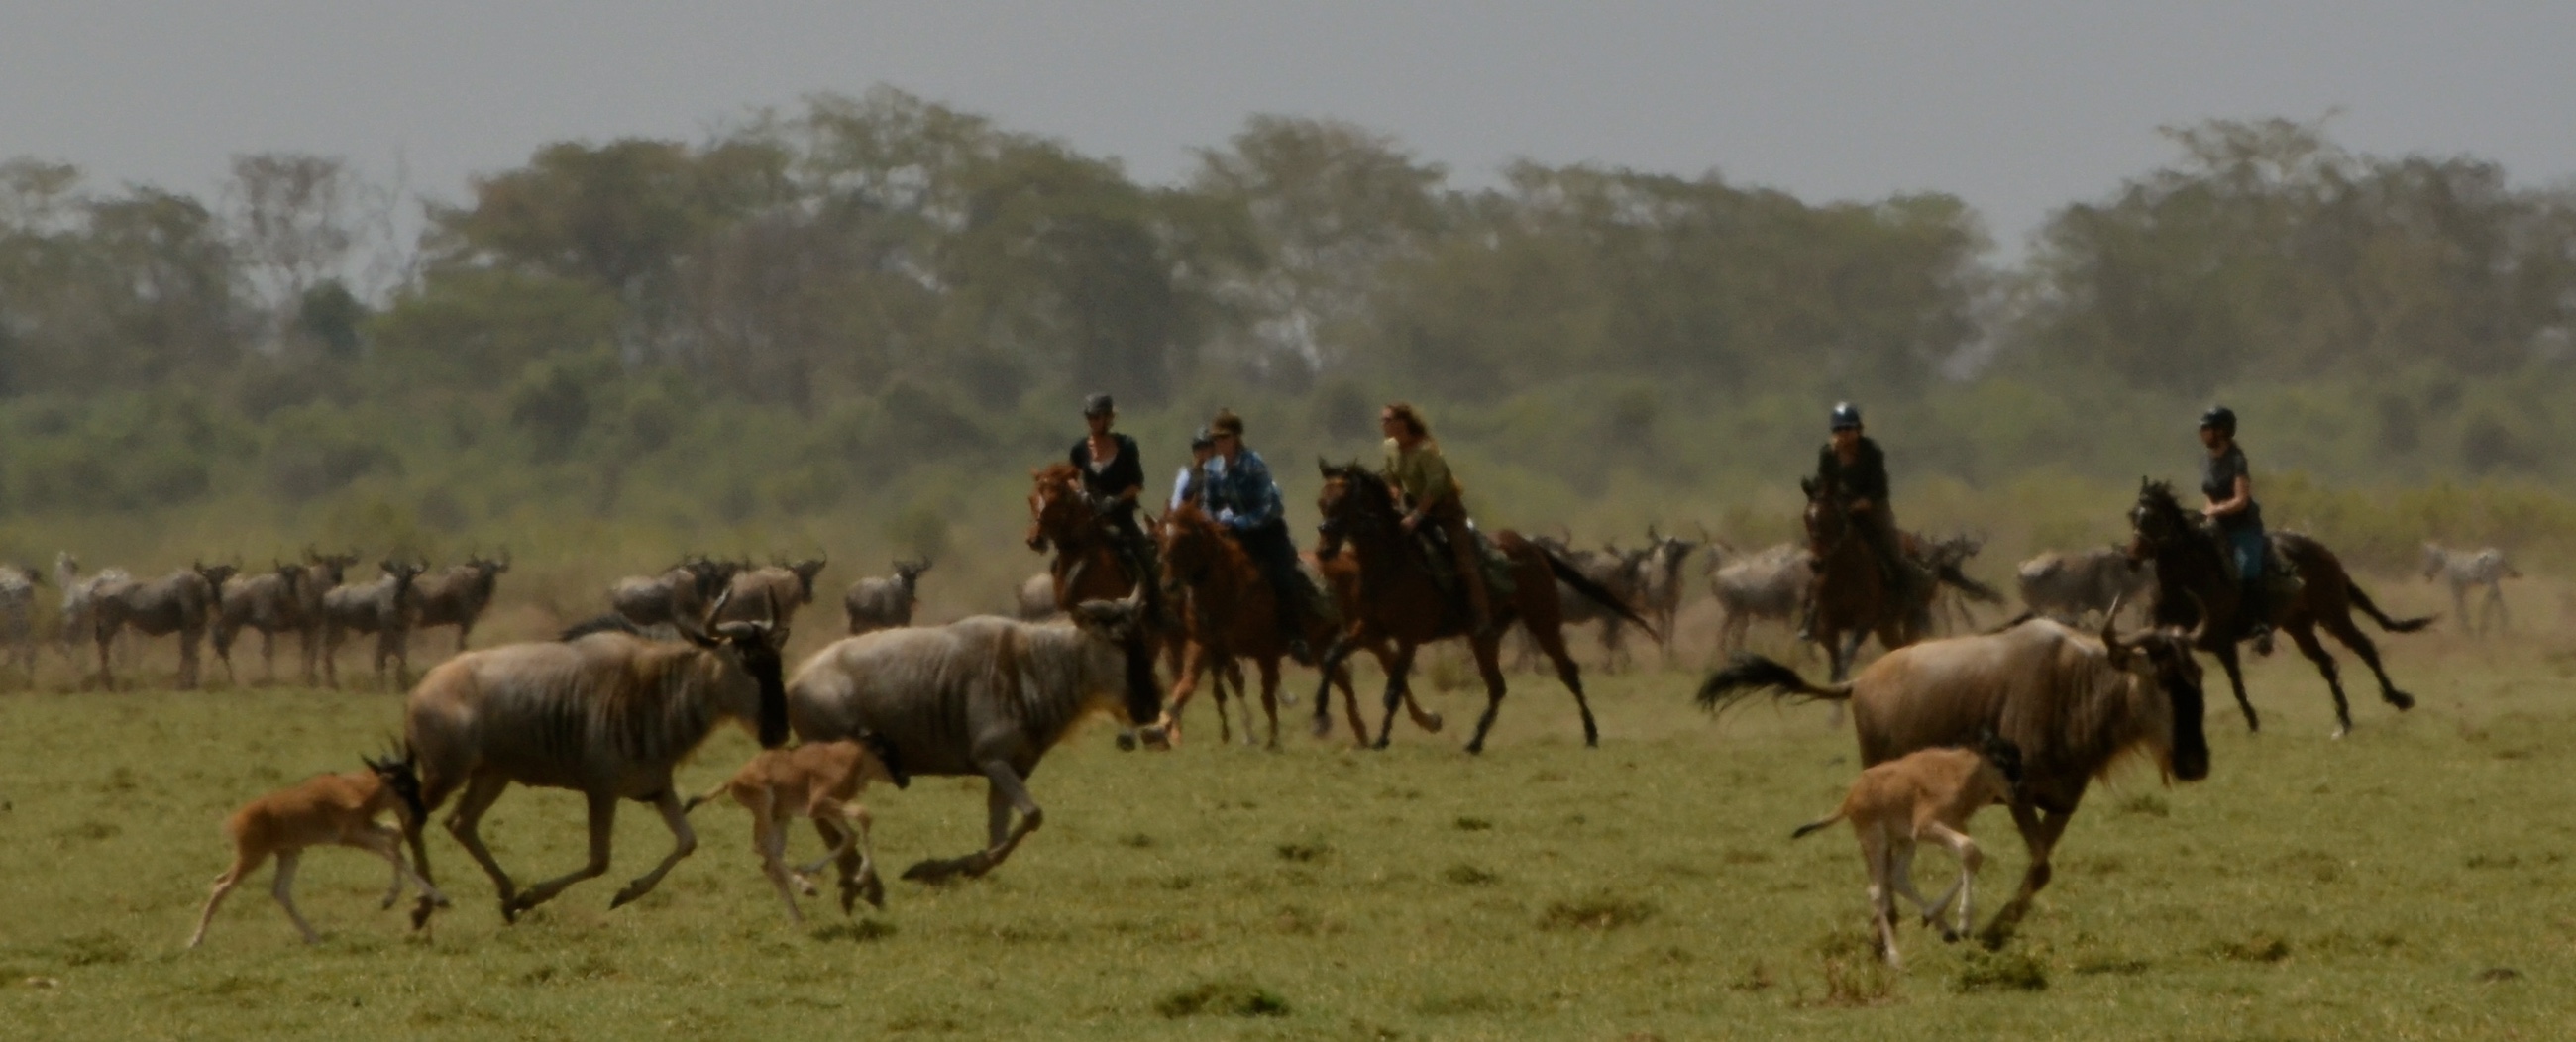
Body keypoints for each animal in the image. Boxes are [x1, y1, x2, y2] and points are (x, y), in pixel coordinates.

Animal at [690, 730, 912, 915]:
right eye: (883, 750)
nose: (904, 780)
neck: (846, 758)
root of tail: (733, 780)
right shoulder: (818, 805)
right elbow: (864, 815)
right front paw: (860, 877)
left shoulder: (825, 809)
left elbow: (850, 836)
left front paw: (808, 869)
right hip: (765, 809)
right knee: (761, 847)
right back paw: (806, 888)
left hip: (781, 818)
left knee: (768, 861)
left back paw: (798, 917)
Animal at [1308, 460, 1649, 746]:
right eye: (1321, 503)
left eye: (1342, 502)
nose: (1324, 549)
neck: (1391, 564)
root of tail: (1532, 548)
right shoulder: (1368, 629)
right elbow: (1333, 657)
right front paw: (1321, 711)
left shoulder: (1408, 637)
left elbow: (1393, 688)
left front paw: (1381, 738)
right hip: (1483, 636)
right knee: (1497, 686)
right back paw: (1475, 741)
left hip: (1543, 622)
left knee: (1568, 672)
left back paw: (1591, 732)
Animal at [2122, 475, 2421, 735]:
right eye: (2133, 515)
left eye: (2154, 517)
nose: (2132, 557)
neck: (2187, 582)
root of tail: (2324, 551)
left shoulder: (2223, 643)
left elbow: (2236, 684)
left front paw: (2253, 724)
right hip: (2299, 626)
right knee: (2327, 663)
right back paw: (2343, 722)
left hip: (2333, 614)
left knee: (2364, 648)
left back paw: (2398, 698)